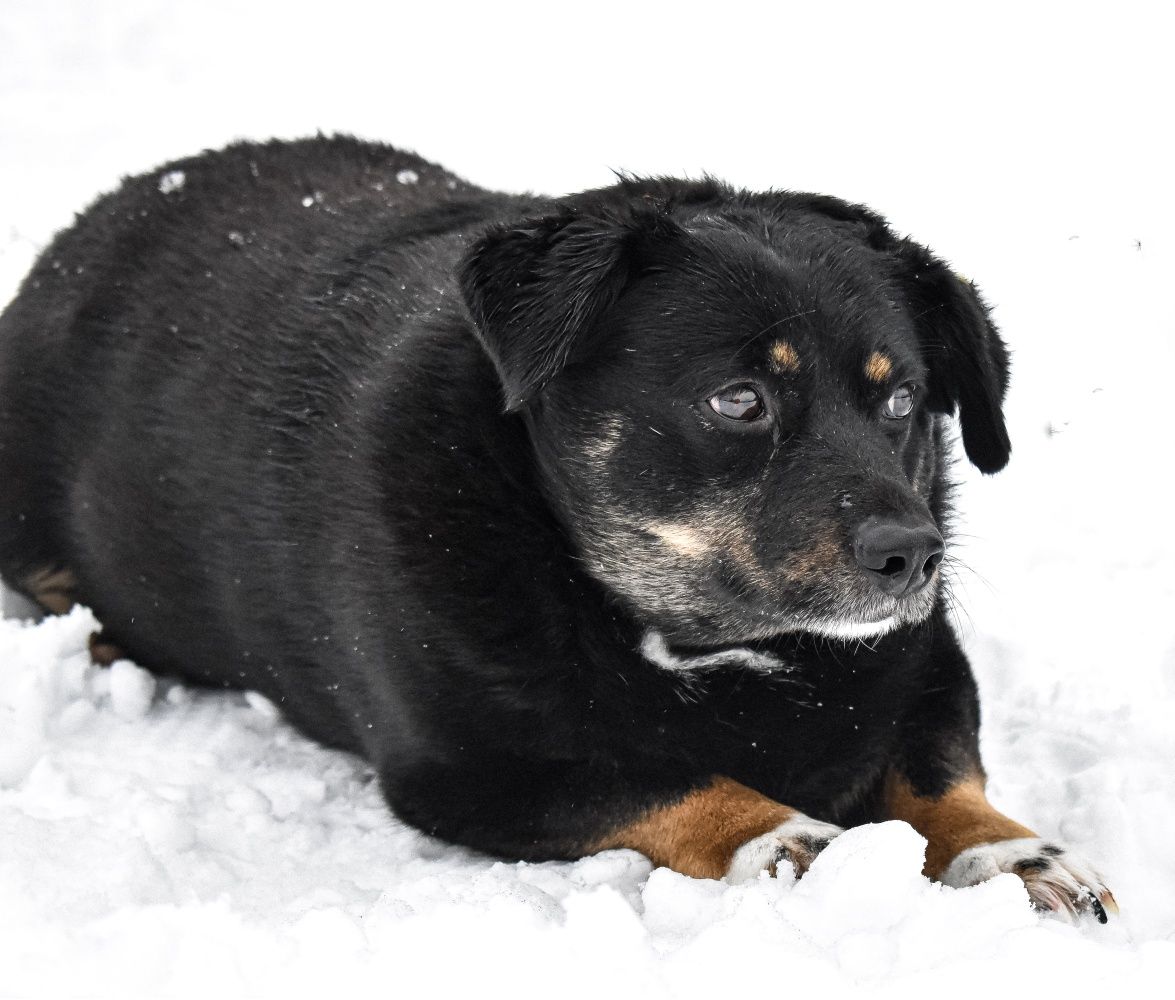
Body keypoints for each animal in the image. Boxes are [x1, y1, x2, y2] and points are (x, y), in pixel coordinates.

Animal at [0, 135, 1113, 921]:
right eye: (739, 400)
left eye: (900, 402)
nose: (910, 554)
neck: (708, 646)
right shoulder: (472, 770)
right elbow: (675, 780)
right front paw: (795, 842)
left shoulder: (927, 672)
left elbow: (938, 775)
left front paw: (1015, 853)